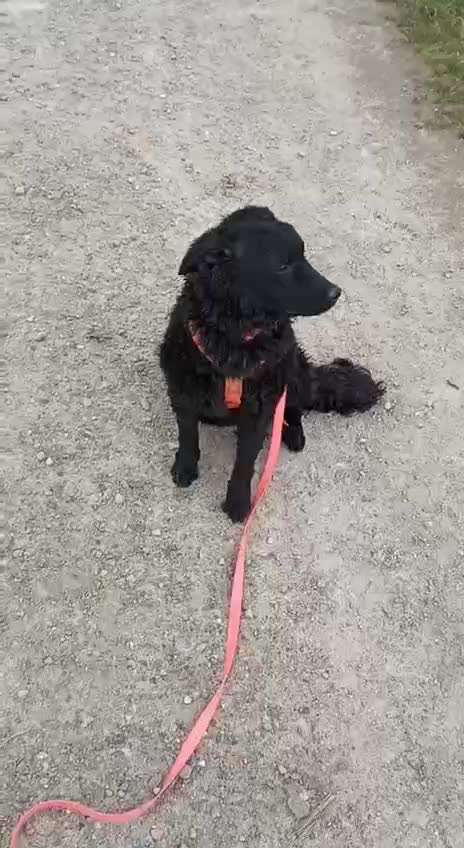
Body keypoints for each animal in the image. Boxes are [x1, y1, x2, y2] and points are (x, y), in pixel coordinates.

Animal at [160, 206, 384, 522]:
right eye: (282, 266)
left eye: (303, 255)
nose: (336, 292)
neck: (237, 338)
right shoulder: (182, 391)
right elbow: (188, 436)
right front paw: (185, 468)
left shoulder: (259, 410)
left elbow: (244, 463)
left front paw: (238, 504)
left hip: (291, 370)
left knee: (293, 407)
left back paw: (293, 433)